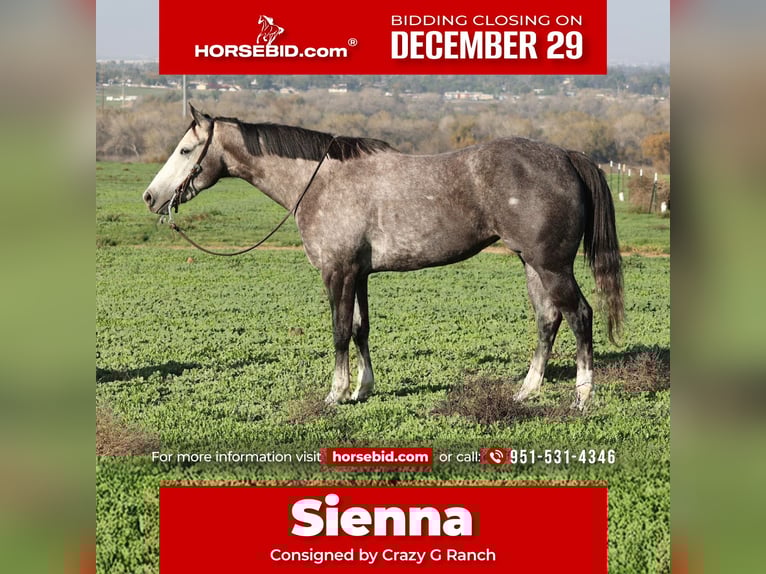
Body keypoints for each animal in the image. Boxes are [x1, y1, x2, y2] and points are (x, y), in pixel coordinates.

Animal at [143, 105, 623, 410]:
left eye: (186, 150)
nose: (151, 197)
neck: (320, 182)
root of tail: (567, 156)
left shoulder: (337, 273)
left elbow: (339, 332)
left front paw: (335, 394)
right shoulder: (359, 275)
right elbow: (360, 330)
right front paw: (362, 390)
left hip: (552, 266)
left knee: (580, 316)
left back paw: (582, 396)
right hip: (532, 265)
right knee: (548, 321)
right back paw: (526, 391)